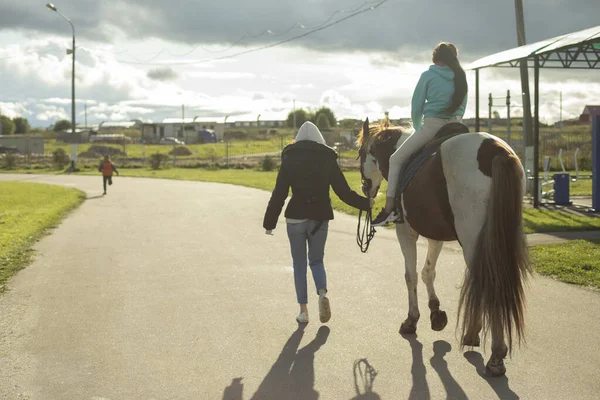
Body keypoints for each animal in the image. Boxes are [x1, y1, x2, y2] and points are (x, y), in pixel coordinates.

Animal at [356, 118, 528, 376]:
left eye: (360, 153)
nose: (365, 188)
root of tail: (495, 151)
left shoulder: (405, 232)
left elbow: (410, 275)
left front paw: (412, 319)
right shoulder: (434, 234)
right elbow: (428, 272)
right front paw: (436, 312)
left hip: (473, 242)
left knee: (487, 283)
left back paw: (495, 354)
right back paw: (475, 335)